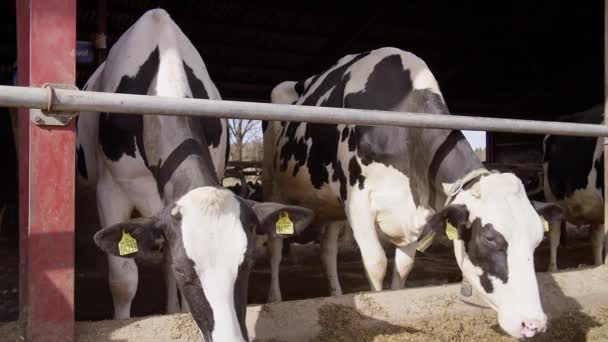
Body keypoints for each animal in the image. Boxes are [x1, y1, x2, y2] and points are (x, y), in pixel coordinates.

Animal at [264, 46, 564, 338]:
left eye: (538, 239)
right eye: (490, 239)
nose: (534, 324)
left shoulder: (412, 215)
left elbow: (402, 268)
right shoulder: (357, 203)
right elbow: (377, 263)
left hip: (331, 206)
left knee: (327, 250)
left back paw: (336, 294)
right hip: (275, 186)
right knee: (276, 246)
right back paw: (275, 299)